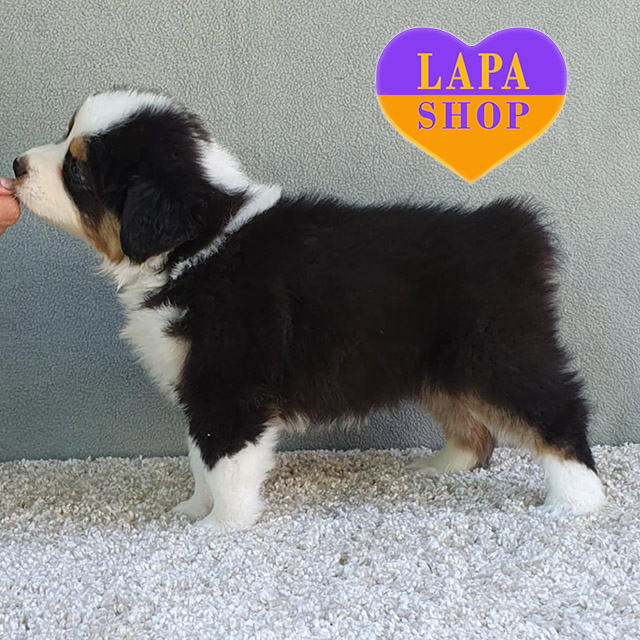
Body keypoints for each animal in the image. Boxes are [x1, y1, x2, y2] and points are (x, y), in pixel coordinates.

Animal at [12, 88, 605, 528]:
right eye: (65, 136)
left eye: (78, 172)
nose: (15, 164)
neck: (196, 244)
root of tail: (511, 233)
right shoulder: (195, 384)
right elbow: (199, 457)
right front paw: (193, 509)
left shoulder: (228, 385)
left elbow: (225, 462)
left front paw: (219, 528)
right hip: (442, 367)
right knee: (474, 431)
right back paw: (441, 467)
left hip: (500, 357)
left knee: (558, 415)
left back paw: (576, 502)